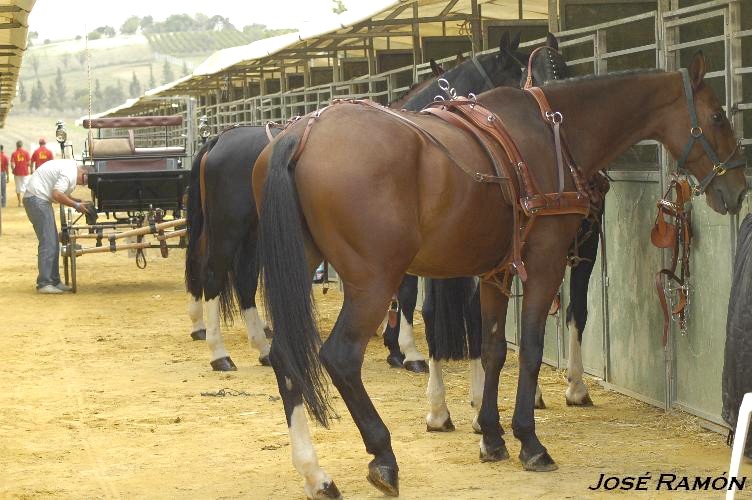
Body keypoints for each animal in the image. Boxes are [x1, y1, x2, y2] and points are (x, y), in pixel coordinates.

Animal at [254, 52, 748, 498]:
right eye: (718, 116)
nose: (738, 188)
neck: (552, 135)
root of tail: (300, 134)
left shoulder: (496, 273)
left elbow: (492, 349)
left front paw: (491, 436)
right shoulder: (547, 264)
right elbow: (529, 349)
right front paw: (529, 440)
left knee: (286, 358)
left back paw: (315, 474)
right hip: (374, 283)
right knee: (339, 357)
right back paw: (382, 457)